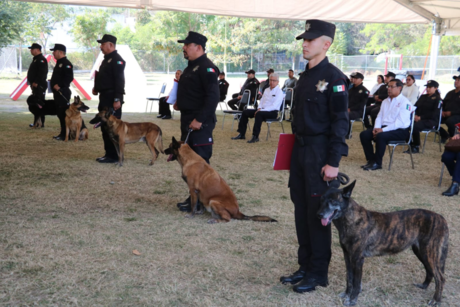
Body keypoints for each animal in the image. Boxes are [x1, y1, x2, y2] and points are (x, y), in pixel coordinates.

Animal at [318, 182, 448, 306]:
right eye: (322, 199)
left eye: (332, 201)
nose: (319, 214)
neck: (351, 218)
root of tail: (441, 218)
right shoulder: (347, 257)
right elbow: (349, 278)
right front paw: (346, 294)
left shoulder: (357, 259)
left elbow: (356, 282)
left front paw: (352, 300)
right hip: (422, 252)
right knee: (430, 271)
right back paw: (424, 286)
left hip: (430, 253)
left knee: (440, 278)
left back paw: (436, 300)